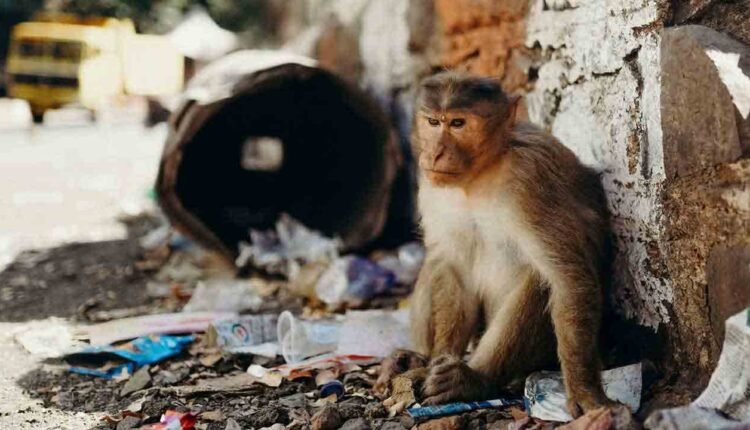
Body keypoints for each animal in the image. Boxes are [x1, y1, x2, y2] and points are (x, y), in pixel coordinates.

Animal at [390, 71, 615, 417]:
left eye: (457, 123)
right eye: (433, 122)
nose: (435, 153)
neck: (481, 174)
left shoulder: (530, 180)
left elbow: (568, 278)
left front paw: (583, 388)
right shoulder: (430, 183)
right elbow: (452, 266)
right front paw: (439, 359)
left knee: (539, 280)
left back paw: (475, 379)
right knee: (435, 264)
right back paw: (416, 362)